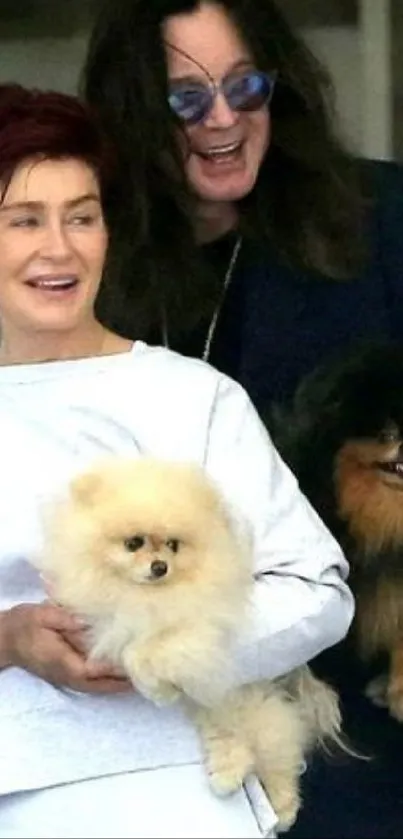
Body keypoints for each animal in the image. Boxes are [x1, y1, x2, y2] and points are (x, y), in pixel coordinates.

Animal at [35, 456, 344, 832]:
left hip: (245, 703)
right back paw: (228, 775)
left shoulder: (197, 630)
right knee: (237, 739)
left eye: (173, 545)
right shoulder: (107, 624)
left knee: (279, 744)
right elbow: (131, 648)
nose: (160, 566)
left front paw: (158, 689)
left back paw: (283, 808)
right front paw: (160, 688)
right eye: (133, 543)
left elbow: (145, 652)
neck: (145, 598)